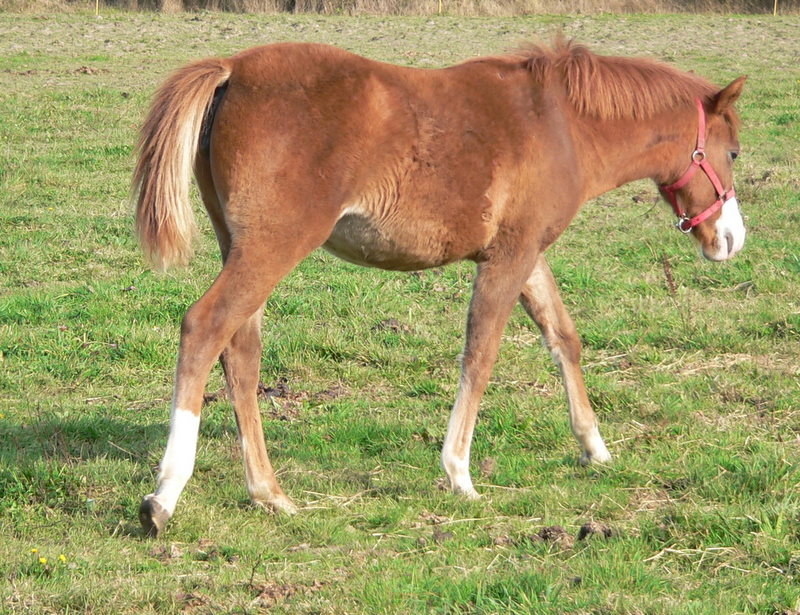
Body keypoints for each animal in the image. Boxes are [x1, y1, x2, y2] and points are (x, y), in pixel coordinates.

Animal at [133, 41, 744, 536]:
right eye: (734, 151)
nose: (731, 239)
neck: (562, 124)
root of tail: (233, 69)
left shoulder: (525, 253)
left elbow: (562, 337)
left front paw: (595, 447)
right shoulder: (510, 257)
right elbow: (481, 353)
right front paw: (459, 473)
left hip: (241, 245)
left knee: (240, 351)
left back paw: (269, 493)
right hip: (273, 245)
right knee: (204, 327)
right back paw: (164, 496)